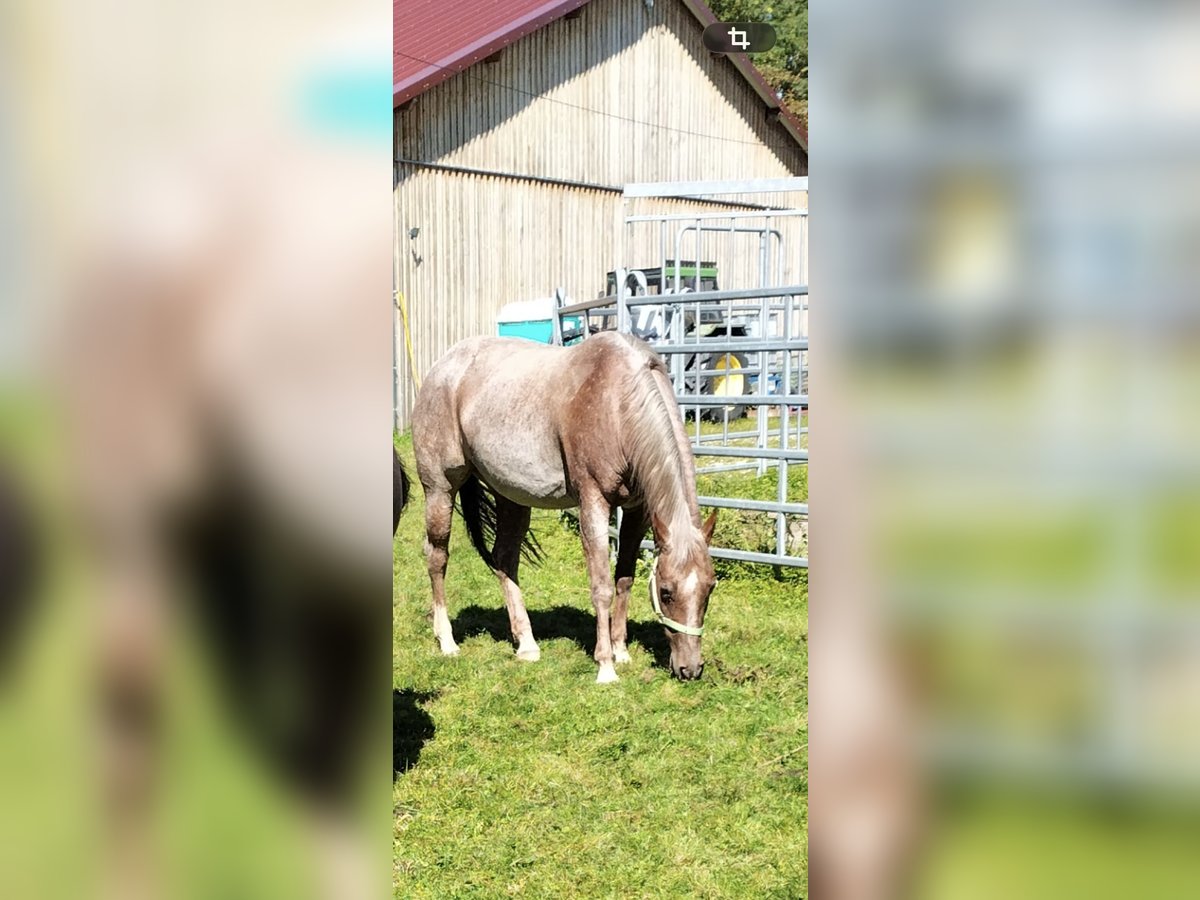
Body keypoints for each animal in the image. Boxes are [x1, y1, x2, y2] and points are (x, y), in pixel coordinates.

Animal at [411, 332, 718, 683]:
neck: (617, 402)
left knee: (504, 559)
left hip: (511, 497)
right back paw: (447, 641)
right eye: (666, 592)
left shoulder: (637, 511)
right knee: (437, 556)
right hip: (440, 489)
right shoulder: (593, 502)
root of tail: (442, 367)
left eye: (710, 588)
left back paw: (527, 644)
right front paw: (606, 666)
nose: (690, 669)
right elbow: (601, 586)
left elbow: (624, 579)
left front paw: (621, 651)